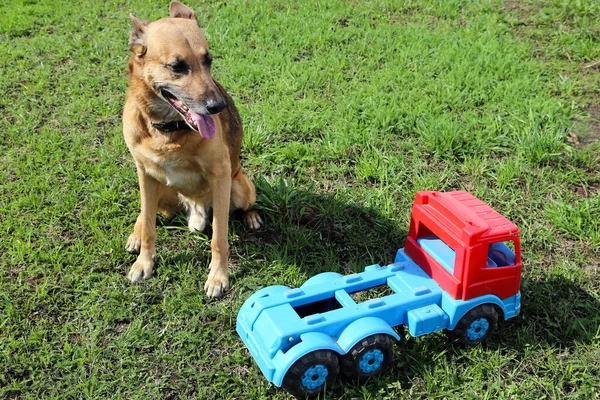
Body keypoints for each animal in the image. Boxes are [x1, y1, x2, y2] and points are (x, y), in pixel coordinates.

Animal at [122, 1, 262, 296]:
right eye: (177, 66)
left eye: (208, 60)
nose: (218, 106)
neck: (168, 130)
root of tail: (194, 208)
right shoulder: (144, 174)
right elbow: (149, 226)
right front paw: (144, 263)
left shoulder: (220, 177)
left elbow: (219, 236)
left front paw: (218, 278)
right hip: (159, 191)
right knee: (145, 212)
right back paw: (135, 234)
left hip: (241, 188)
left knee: (241, 207)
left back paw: (251, 217)